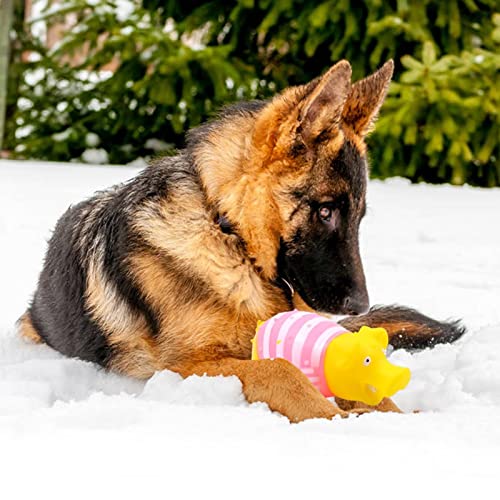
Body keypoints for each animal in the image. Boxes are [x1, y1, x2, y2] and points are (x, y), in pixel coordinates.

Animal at [19, 60, 464, 422]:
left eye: (358, 217)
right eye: (325, 211)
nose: (360, 306)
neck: (227, 233)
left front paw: (398, 417)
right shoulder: (185, 365)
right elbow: (279, 370)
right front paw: (335, 419)